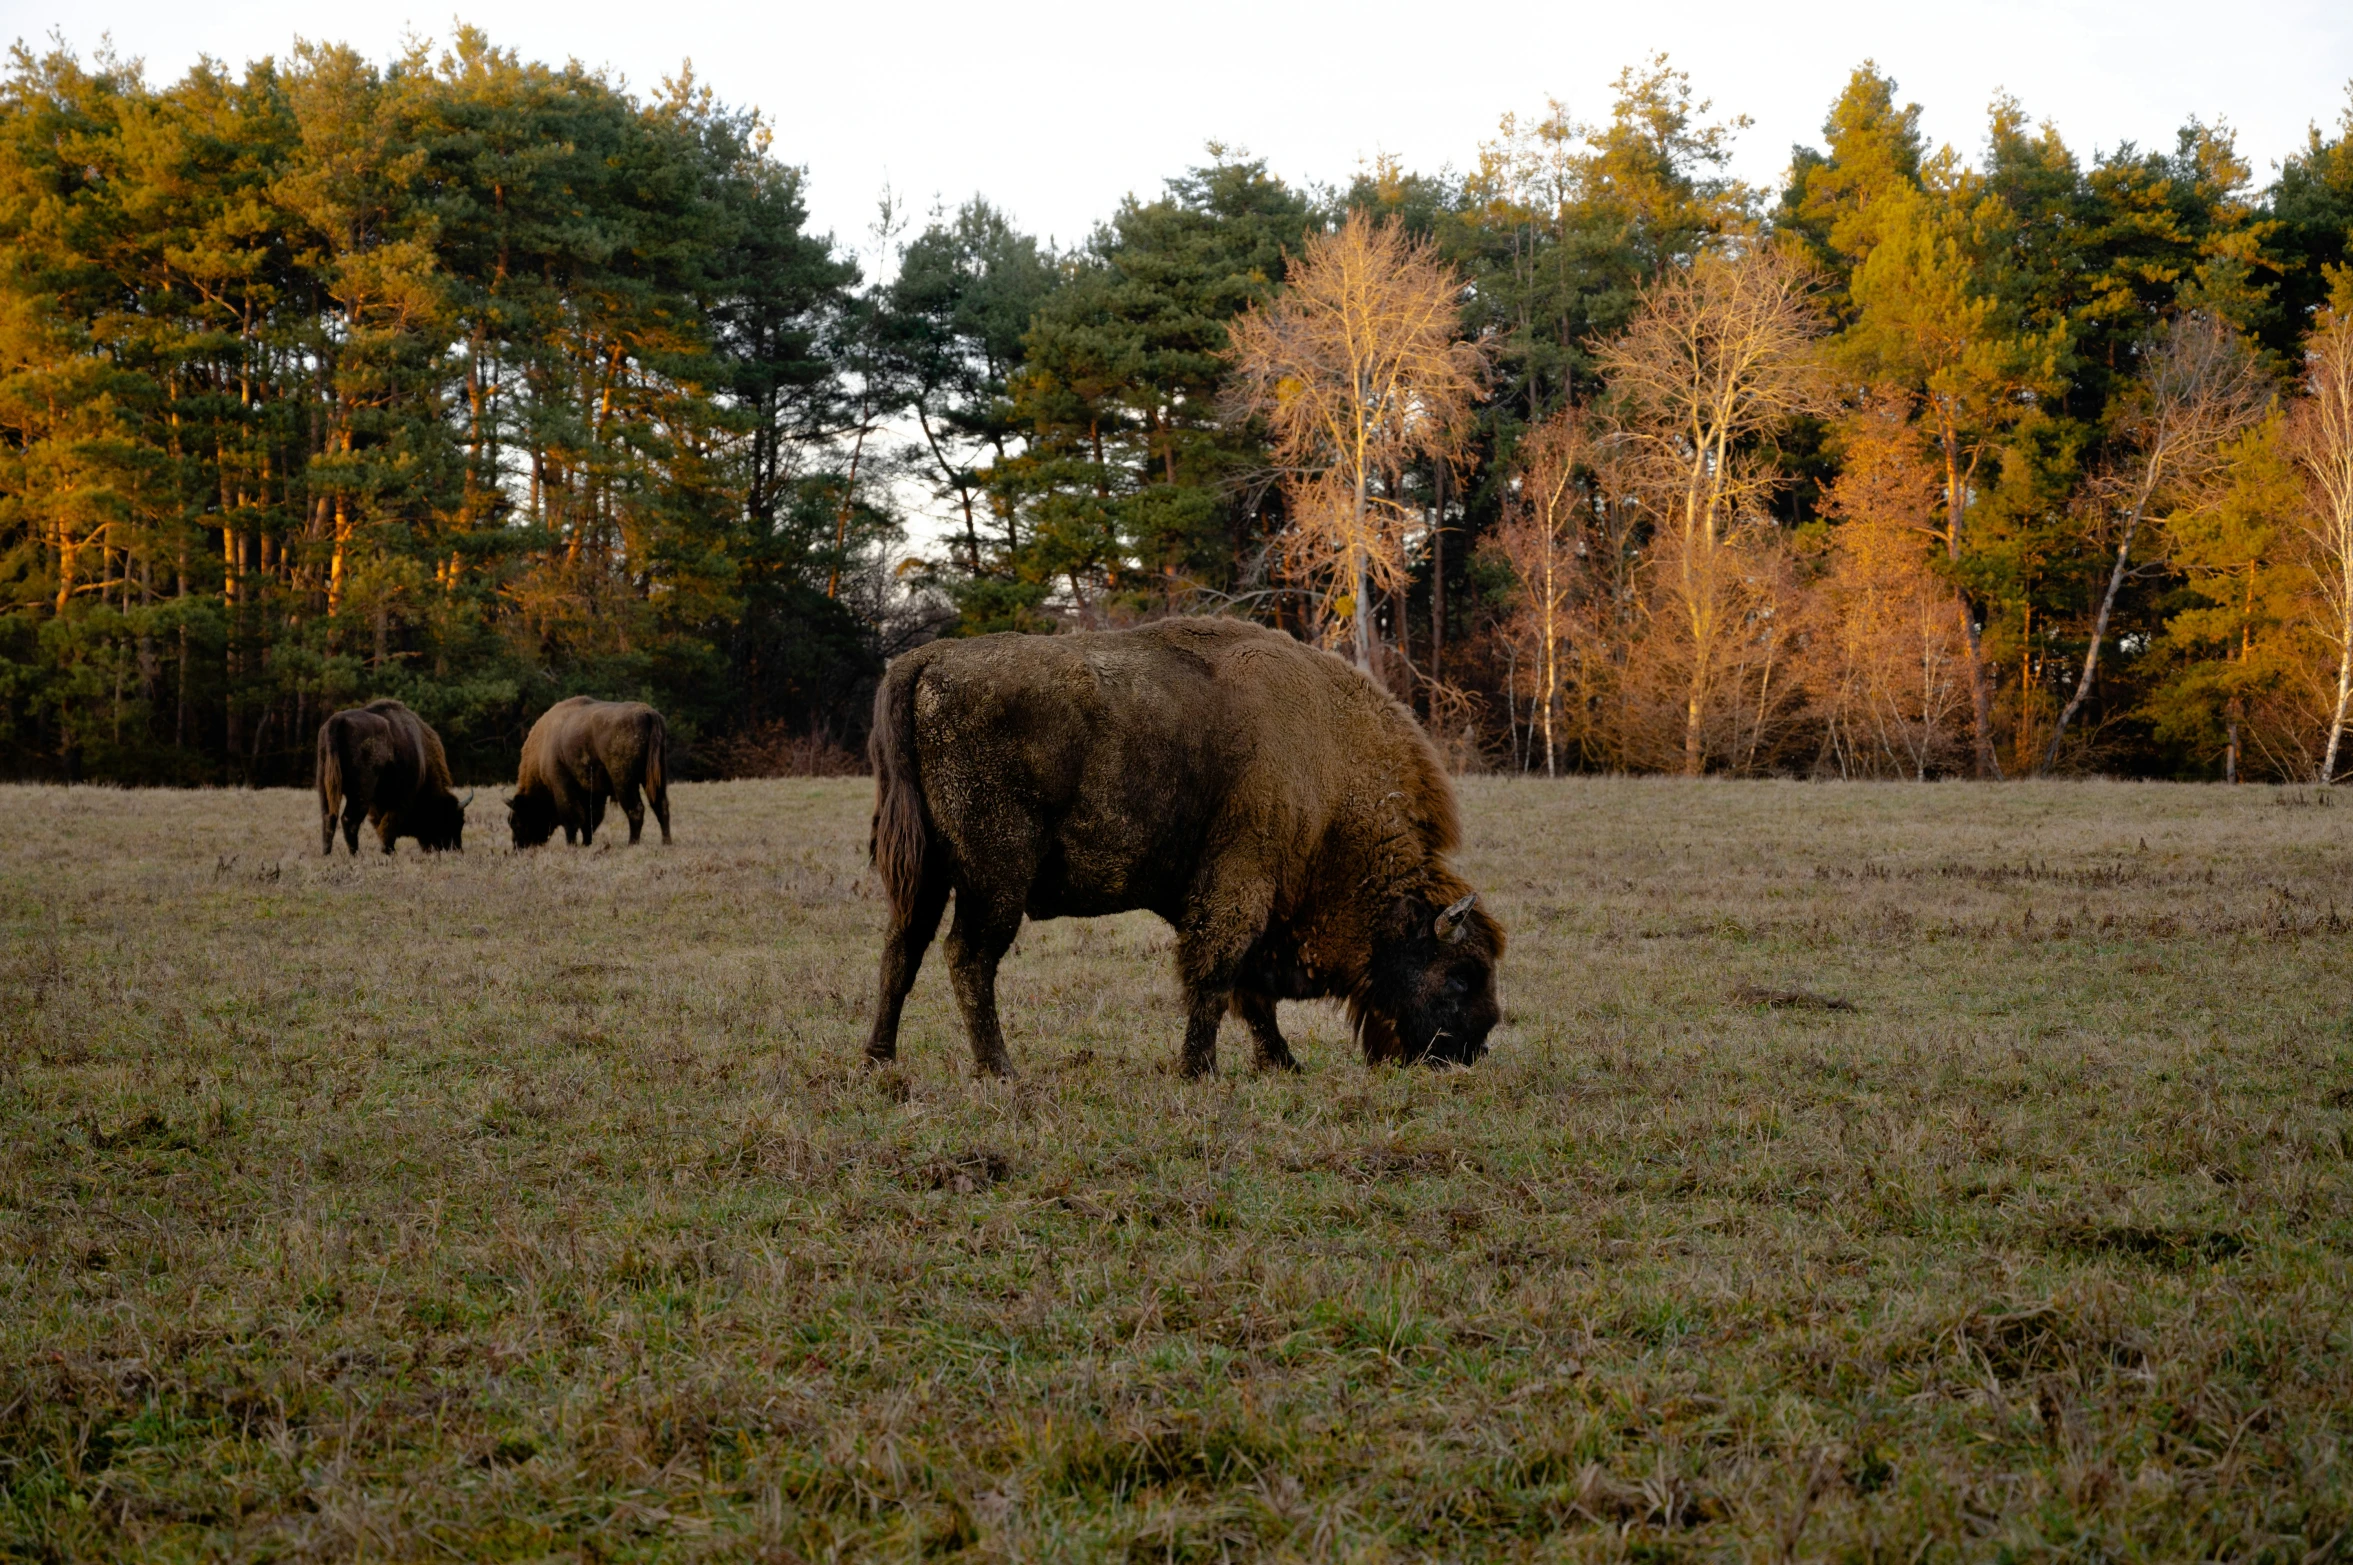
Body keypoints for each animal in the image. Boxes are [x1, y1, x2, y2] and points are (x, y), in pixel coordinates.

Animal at [317, 701, 472, 856]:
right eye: (451, 819)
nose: (456, 849)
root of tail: (338, 721)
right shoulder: (400, 801)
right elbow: (388, 826)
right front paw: (389, 851)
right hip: (360, 795)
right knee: (349, 820)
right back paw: (355, 854)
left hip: (325, 787)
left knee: (329, 817)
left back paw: (327, 853)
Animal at [505, 691, 672, 847]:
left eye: (516, 822)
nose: (517, 846)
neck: (542, 748)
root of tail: (648, 713)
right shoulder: (594, 794)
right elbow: (590, 820)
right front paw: (586, 843)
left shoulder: (562, 786)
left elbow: (572, 818)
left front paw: (571, 845)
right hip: (656, 777)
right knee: (661, 806)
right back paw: (666, 842)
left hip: (625, 783)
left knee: (636, 809)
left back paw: (632, 843)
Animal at [865, 611, 1505, 1073]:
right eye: (1461, 973)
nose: (1472, 1052)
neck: (1328, 768)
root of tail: (927, 659)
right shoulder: (1240, 888)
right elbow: (1217, 977)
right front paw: (1200, 1069)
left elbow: (1247, 993)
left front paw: (1280, 1063)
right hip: (995, 876)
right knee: (968, 957)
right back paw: (999, 1069)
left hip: (927, 873)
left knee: (902, 949)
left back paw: (879, 1061)